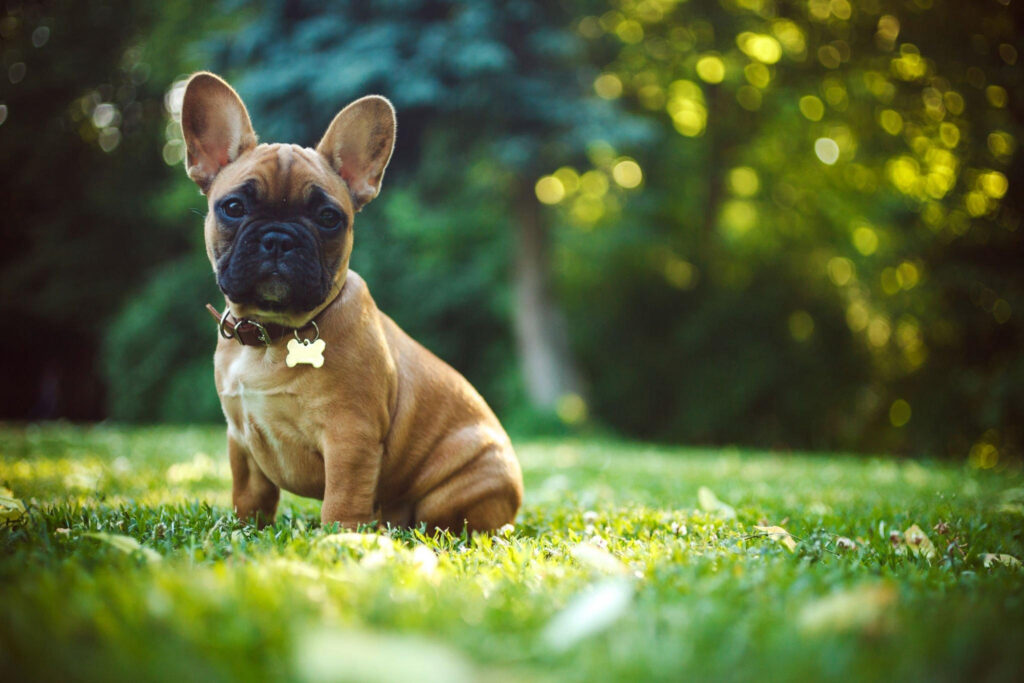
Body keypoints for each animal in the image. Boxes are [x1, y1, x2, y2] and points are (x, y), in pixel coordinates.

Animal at [179, 73, 524, 532]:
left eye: (329, 218)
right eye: (233, 207)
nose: (278, 238)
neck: (273, 333)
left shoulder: (350, 436)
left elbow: (342, 495)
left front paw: (340, 537)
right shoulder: (241, 439)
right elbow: (249, 494)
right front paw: (245, 529)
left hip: (460, 486)